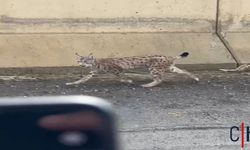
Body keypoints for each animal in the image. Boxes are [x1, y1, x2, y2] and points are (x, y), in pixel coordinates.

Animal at [66, 51, 199, 88]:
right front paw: (72, 83)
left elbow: (121, 78)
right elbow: (83, 79)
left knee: (160, 79)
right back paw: (195, 77)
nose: (81, 65)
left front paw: (129, 81)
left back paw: (147, 85)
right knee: (185, 71)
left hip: (153, 68)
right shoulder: (93, 73)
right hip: (170, 67)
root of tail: (169, 57)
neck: (95, 63)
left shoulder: (117, 70)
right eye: (80, 61)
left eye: (86, 61)